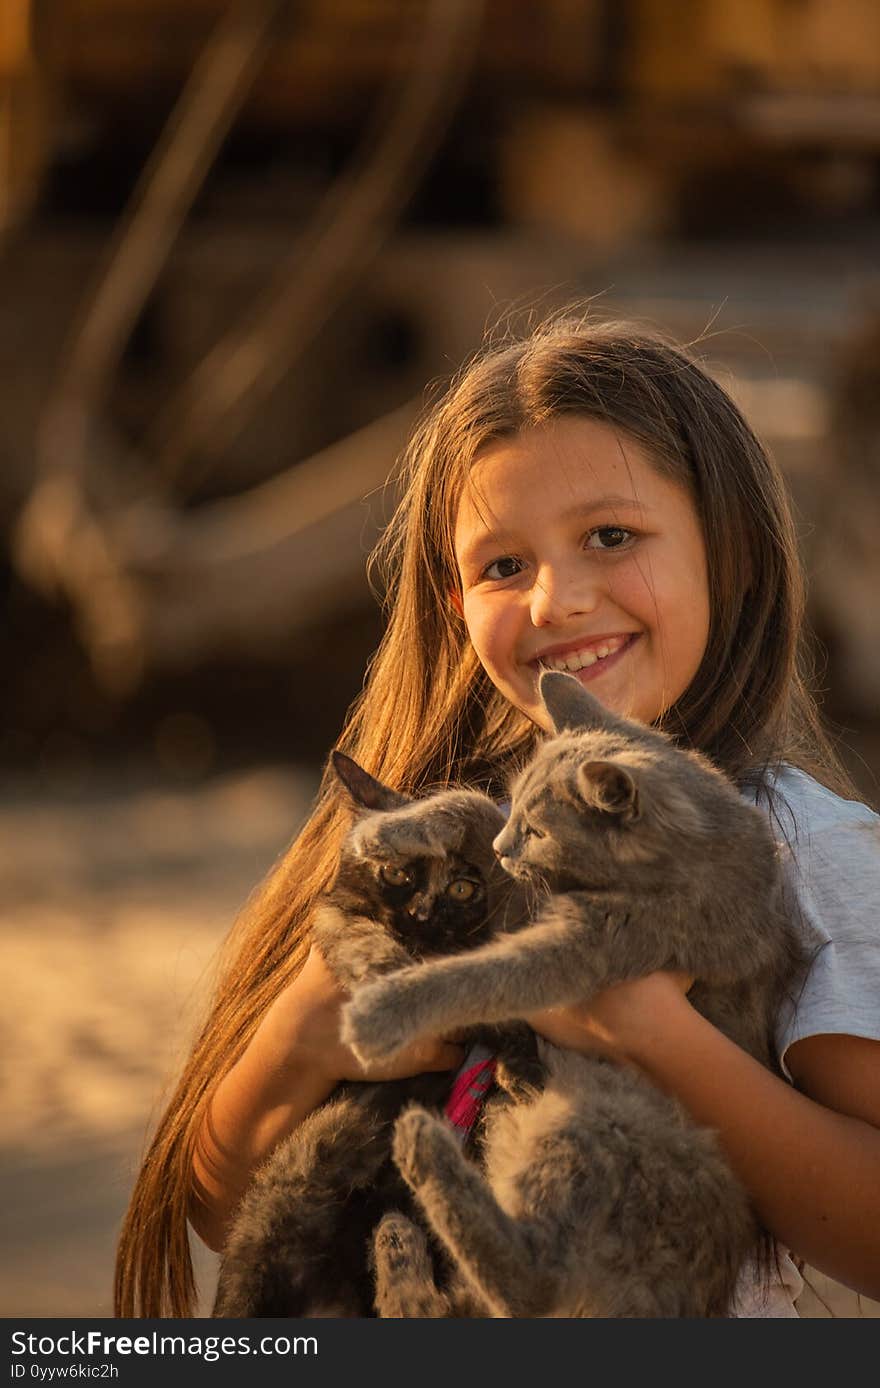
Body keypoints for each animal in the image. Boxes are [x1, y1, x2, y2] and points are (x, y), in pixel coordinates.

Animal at [210, 755, 535, 1315]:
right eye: (397, 873)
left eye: (462, 888)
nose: (421, 914)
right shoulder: (333, 917)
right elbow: (362, 939)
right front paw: (389, 979)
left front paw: (519, 1063)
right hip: (287, 1195)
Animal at [341, 677, 799, 1315]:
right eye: (516, 808)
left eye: (539, 832)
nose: (506, 846)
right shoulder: (516, 890)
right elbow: (472, 806)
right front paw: (385, 831)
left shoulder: (601, 944)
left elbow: (490, 974)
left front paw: (382, 1010)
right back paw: (399, 1235)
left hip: (604, 1120)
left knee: (533, 1283)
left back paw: (420, 1144)